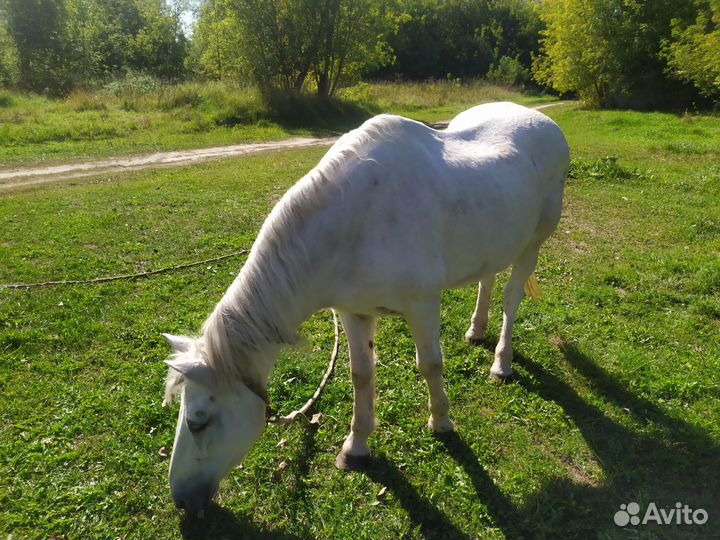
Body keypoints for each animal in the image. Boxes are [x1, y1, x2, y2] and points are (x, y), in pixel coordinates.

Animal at [161, 102, 570, 514]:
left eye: (197, 422)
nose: (182, 499)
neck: (355, 225)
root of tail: (539, 119)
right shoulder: (354, 312)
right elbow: (361, 374)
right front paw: (356, 447)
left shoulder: (422, 305)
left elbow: (430, 365)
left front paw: (441, 422)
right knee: (487, 280)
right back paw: (476, 329)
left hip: (532, 244)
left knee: (511, 300)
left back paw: (501, 363)